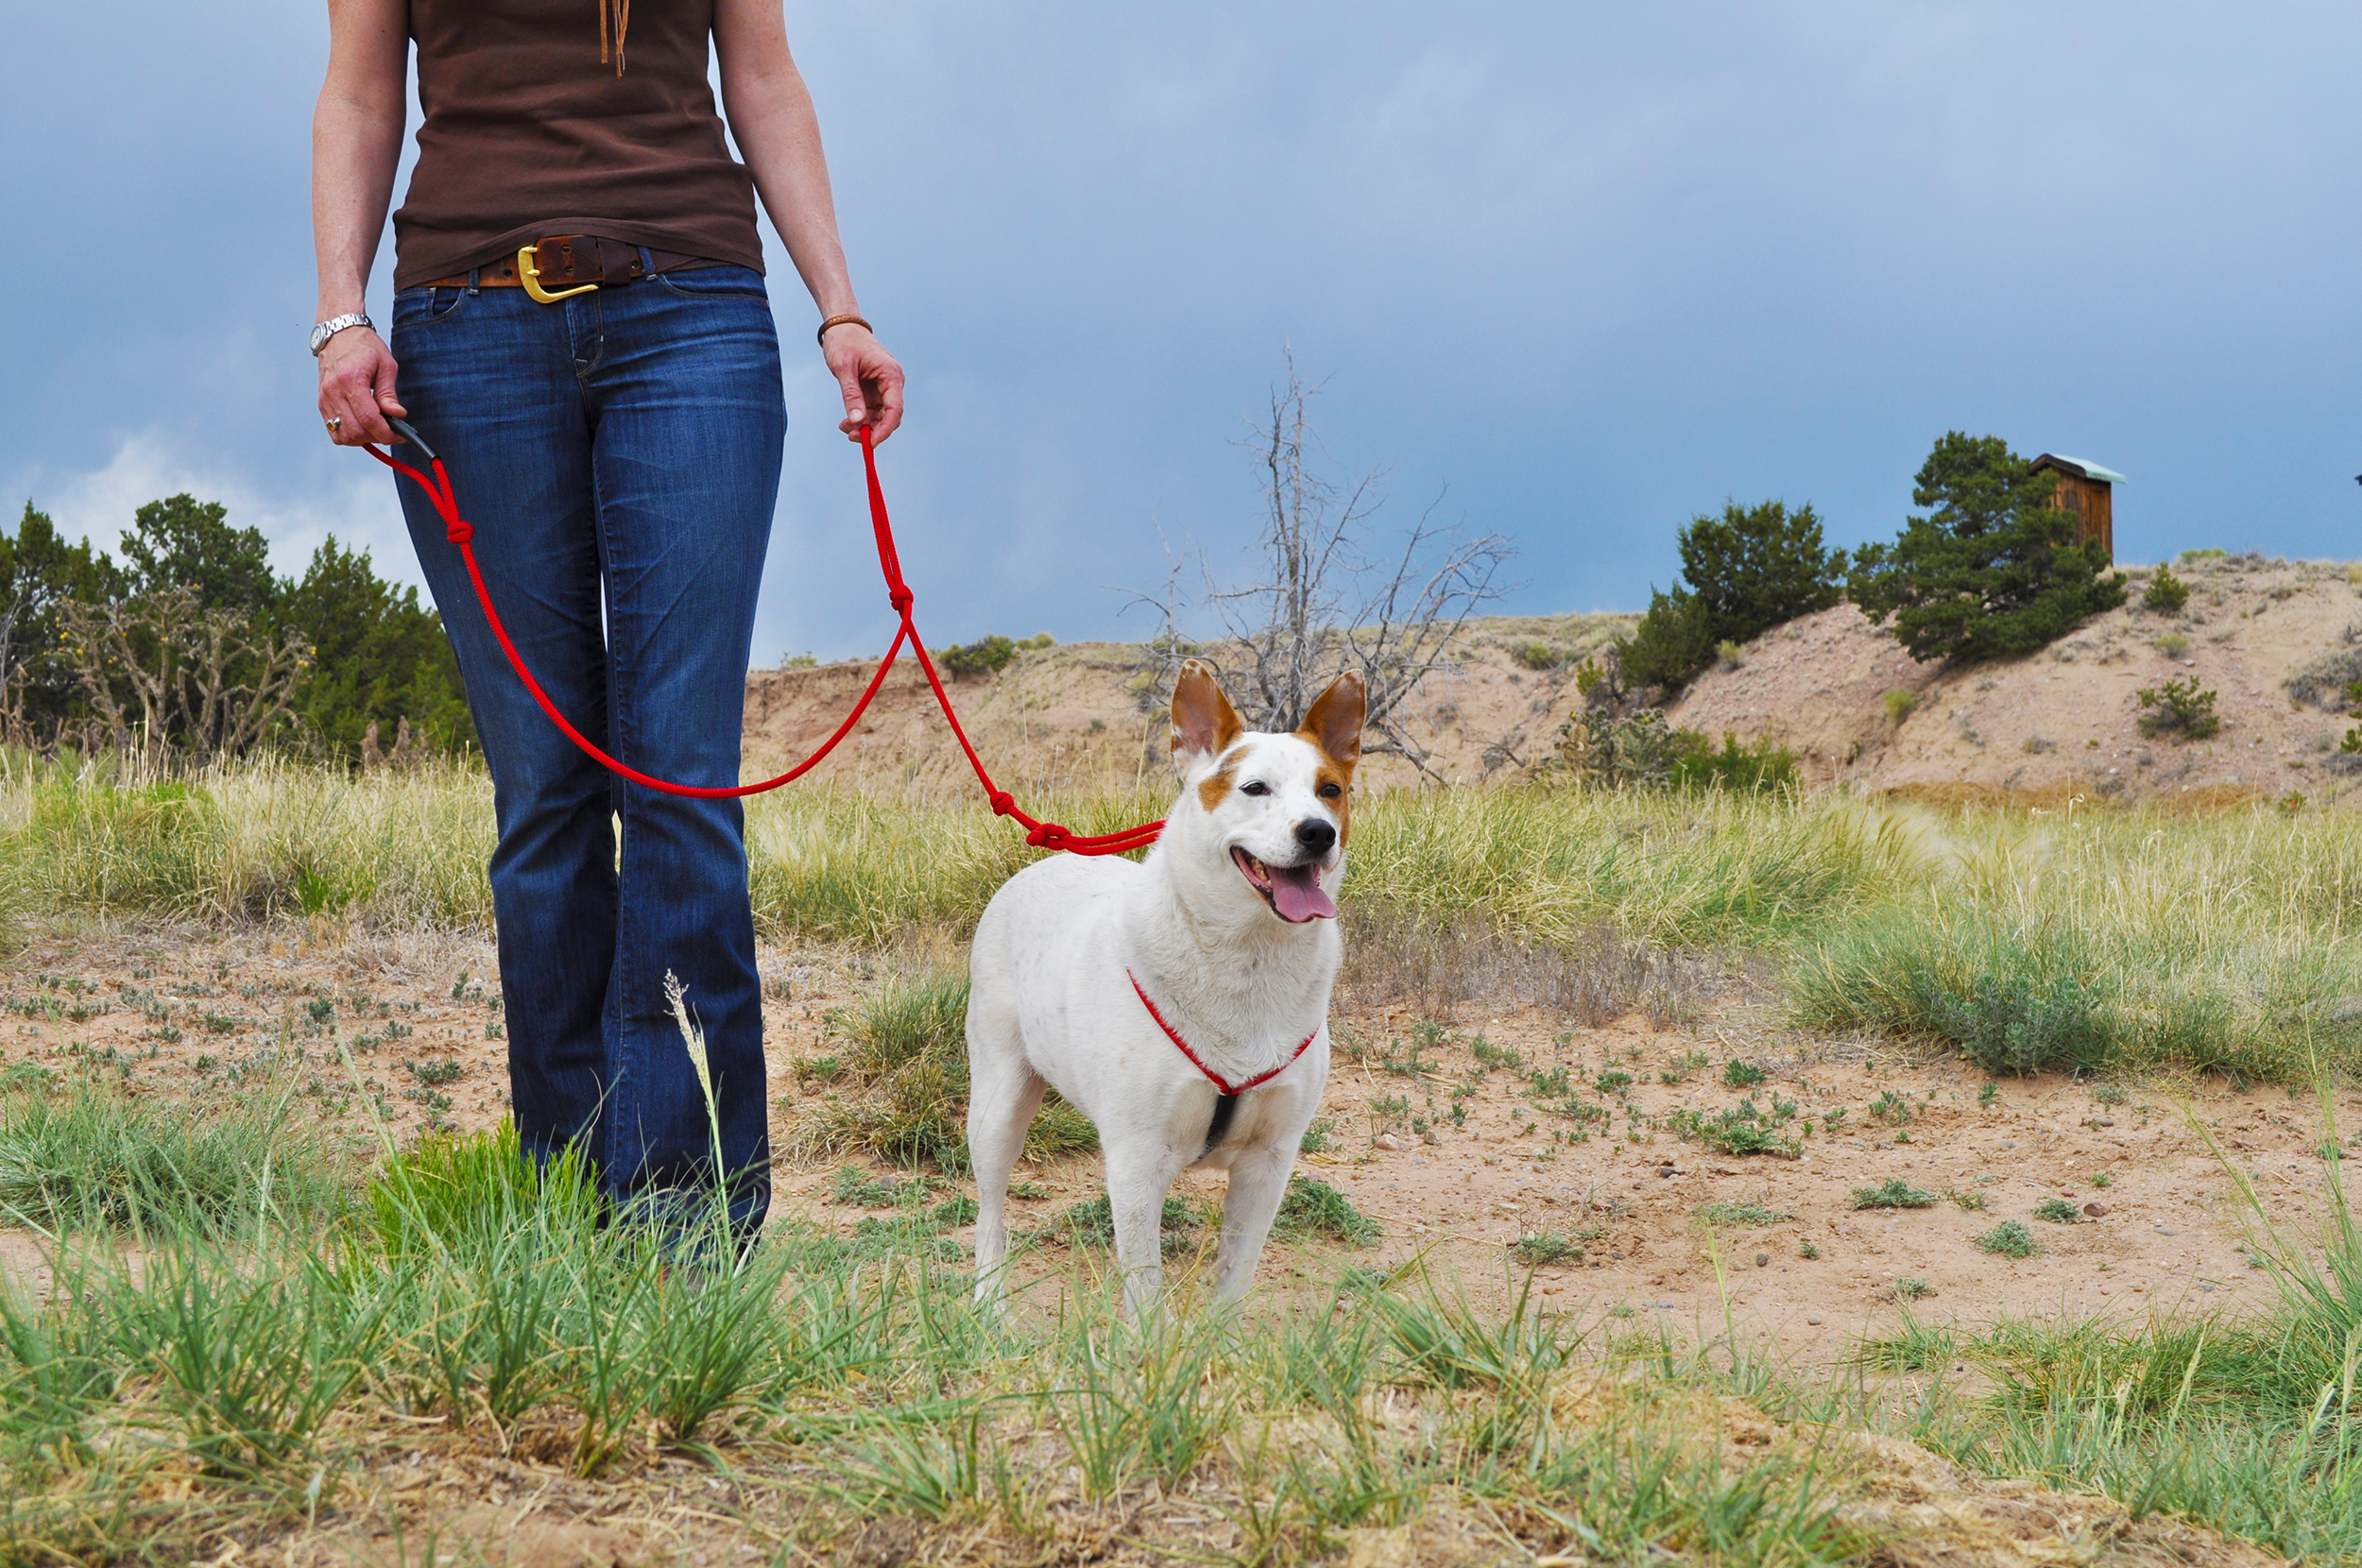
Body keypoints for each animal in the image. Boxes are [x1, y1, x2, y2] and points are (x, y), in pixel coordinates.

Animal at [964, 661, 1370, 1313]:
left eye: (1331, 790)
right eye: (1255, 788)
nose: (1318, 833)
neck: (1247, 960)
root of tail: (1046, 859)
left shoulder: (1268, 1164)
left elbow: (1233, 1281)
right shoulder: (1137, 1162)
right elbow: (1145, 1295)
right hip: (998, 1105)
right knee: (989, 1209)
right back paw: (989, 1301)